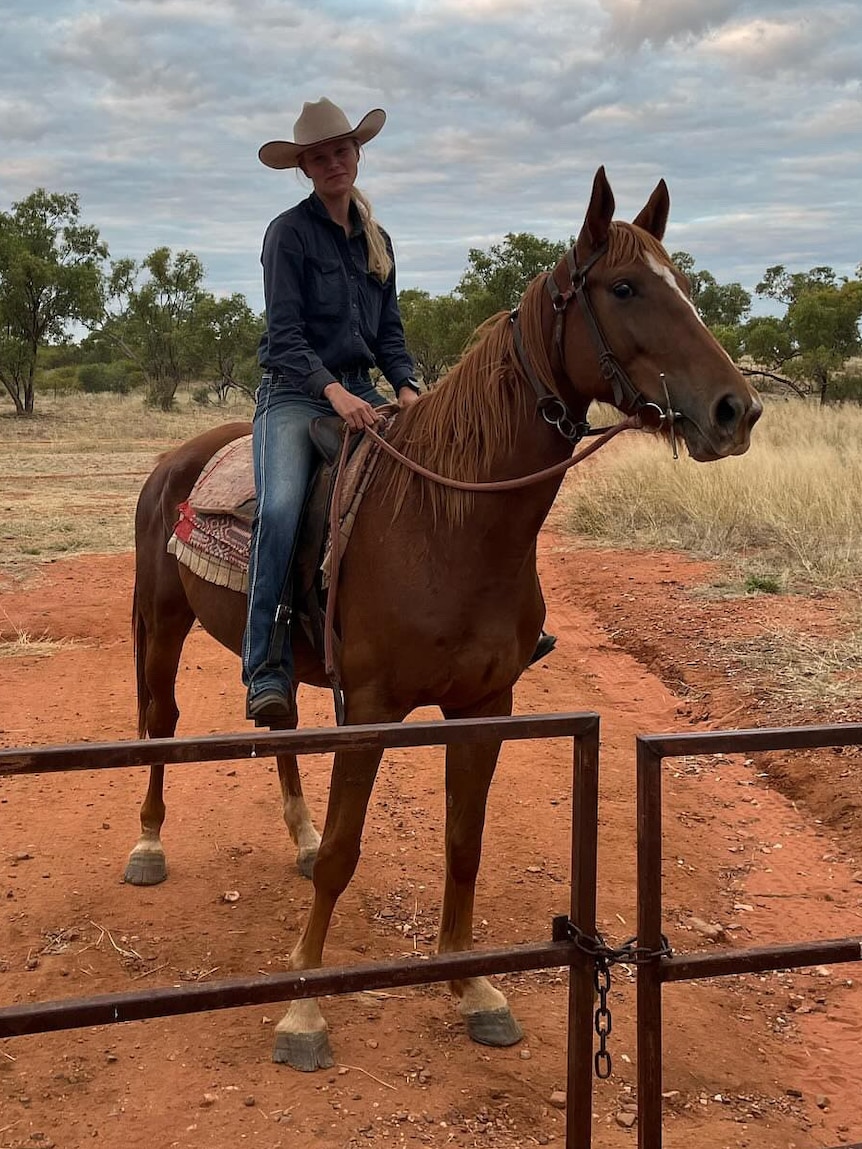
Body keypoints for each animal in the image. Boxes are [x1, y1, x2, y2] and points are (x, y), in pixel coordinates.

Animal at [128, 167, 763, 1066]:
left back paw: (297, 833)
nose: (735, 410)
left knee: (276, 722)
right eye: (625, 287)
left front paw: (472, 987)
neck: (448, 521)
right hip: (160, 620)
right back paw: (148, 843)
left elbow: (465, 843)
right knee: (160, 717)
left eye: (685, 284)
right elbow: (348, 853)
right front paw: (304, 1004)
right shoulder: (370, 708)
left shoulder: (485, 705)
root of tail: (171, 463)